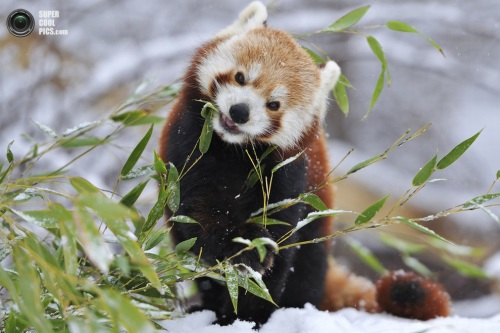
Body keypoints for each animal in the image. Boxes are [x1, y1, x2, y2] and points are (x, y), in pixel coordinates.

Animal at [158, 0, 452, 324]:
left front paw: (249, 315)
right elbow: (199, 211)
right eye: (240, 77)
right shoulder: (190, 146)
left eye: (274, 105)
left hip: (318, 232)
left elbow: (282, 244)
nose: (239, 112)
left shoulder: (290, 173)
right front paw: (244, 247)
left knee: (307, 268)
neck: (234, 150)